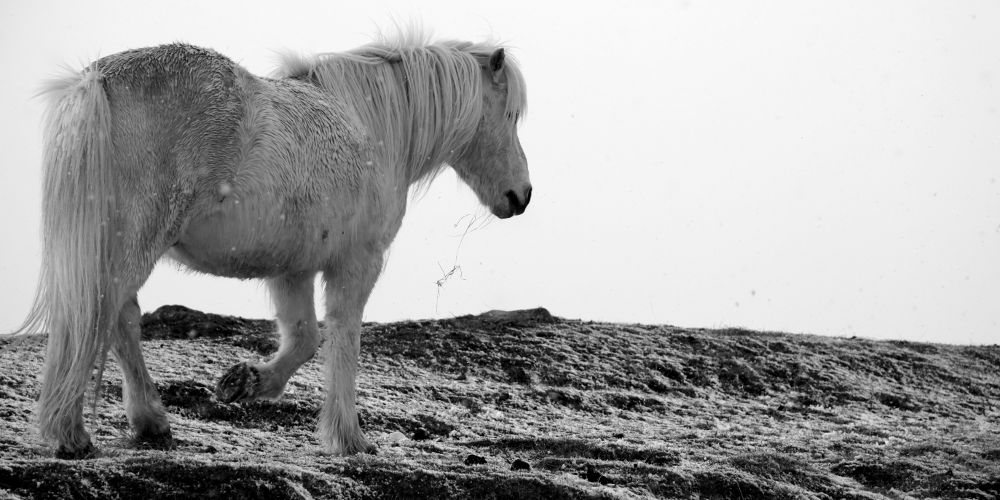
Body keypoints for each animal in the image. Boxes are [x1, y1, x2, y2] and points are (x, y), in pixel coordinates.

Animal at [15, 33, 532, 458]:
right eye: (510, 116)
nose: (521, 196)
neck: (371, 127)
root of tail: (98, 80)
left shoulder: (292, 270)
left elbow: (304, 338)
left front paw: (245, 383)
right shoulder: (358, 263)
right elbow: (343, 339)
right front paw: (349, 438)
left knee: (119, 319)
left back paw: (149, 423)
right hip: (135, 242)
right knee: (101, 316)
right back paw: (70, 433)